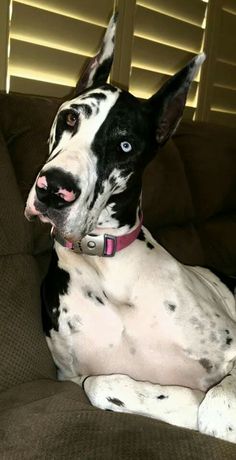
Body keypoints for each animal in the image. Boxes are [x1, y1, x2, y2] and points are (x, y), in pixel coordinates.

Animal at [24, 14, 236, 444]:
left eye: (124, 146)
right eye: (70, 117)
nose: (53, 190)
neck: (107, 268)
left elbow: (221, 402)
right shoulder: (72, 377)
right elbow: (101, 385)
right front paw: (186, 403)